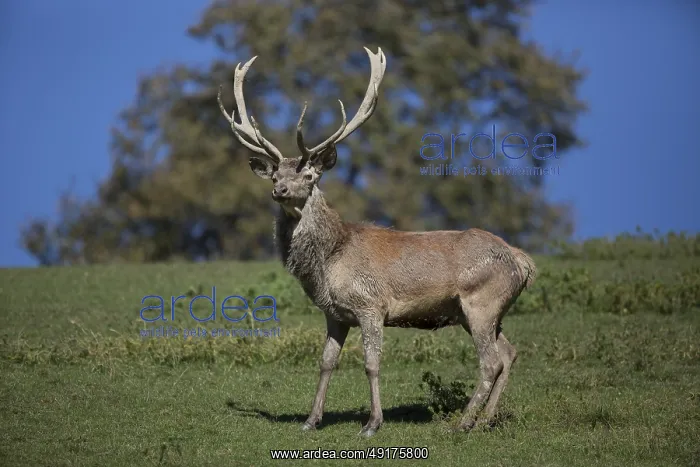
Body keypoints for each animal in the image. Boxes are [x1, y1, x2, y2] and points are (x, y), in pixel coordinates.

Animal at [217, 46, 537, 437]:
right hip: (480, 312)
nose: (280, 191)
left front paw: (372, 423)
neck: (329, 261)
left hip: (482, 302)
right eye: (275, 175)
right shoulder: (334, 313)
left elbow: (371, 363)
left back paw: (463, 422)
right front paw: (311, 420)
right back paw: (487, 419)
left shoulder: (370, 305)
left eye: (309, 176)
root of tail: (521, 261)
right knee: (509, 353)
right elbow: (326, 362)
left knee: (490, 361)